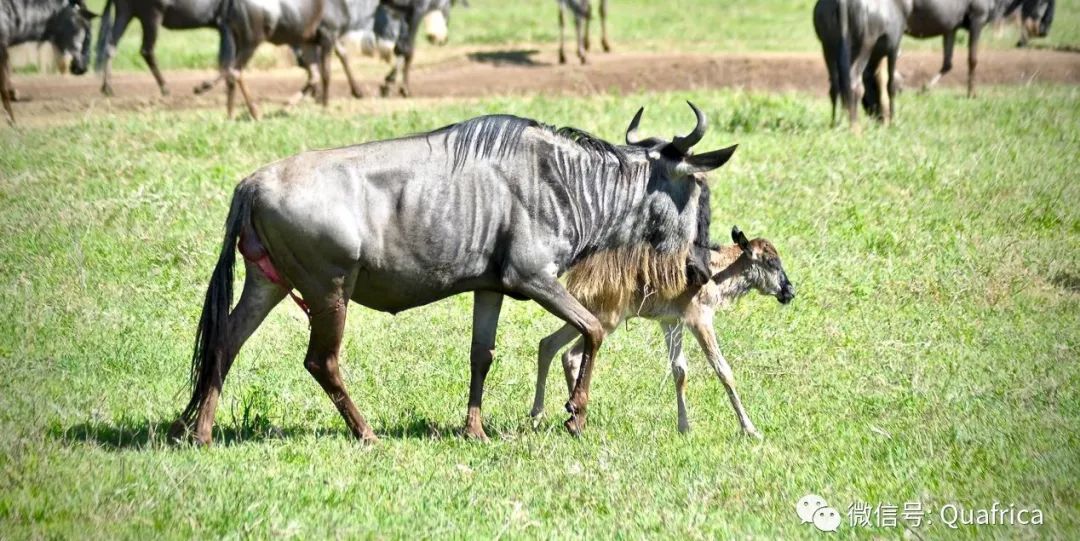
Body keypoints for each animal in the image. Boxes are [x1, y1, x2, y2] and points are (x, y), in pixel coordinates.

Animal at [531, 225, 794, 436]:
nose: (789, 291)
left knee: (551, 346)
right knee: (570, 352)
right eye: (772, 263)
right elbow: (723, 371)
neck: (718, 270)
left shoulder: (671, 322)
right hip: (607, 320)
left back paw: (551, 416)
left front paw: (684, 427)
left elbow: (679, 370)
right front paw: (750, 429)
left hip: (591, 314)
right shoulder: (699, 320)